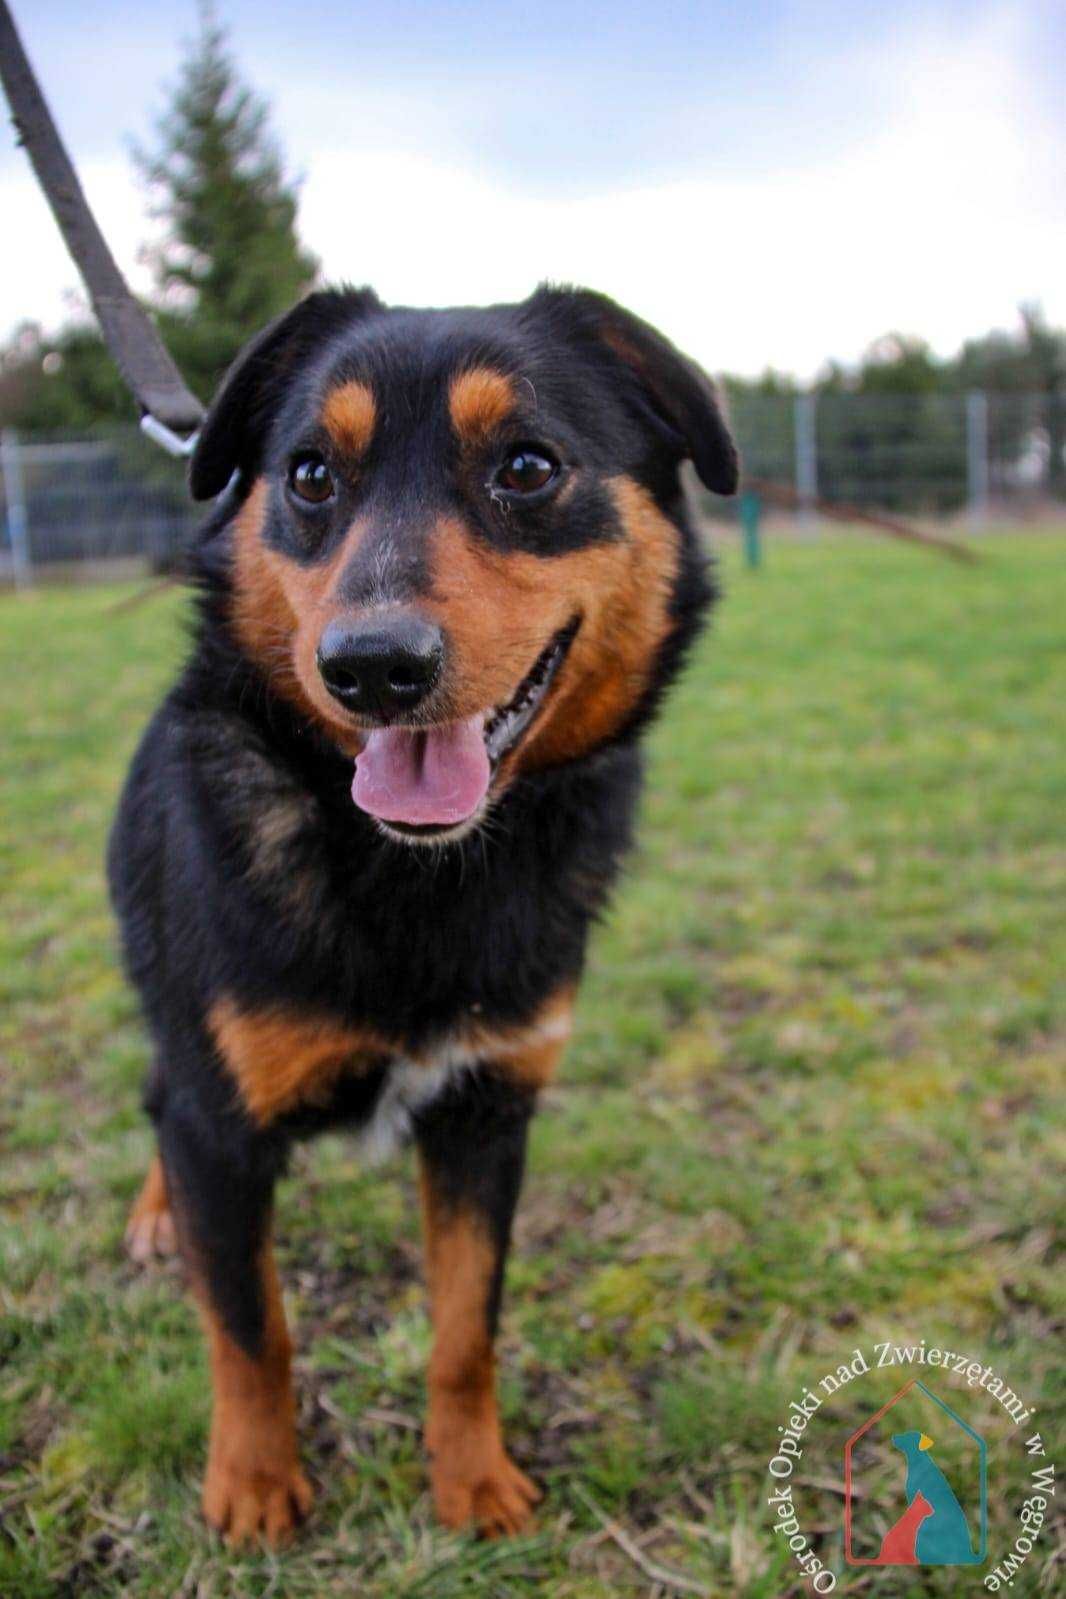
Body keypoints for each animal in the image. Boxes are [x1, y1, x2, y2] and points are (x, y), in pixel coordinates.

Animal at [110, 287, 741, 1547]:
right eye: (309, 475)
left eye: (528, 466)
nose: (372, 668)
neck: (415, 874)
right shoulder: (220, 1122)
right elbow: (250, 1327)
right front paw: (254, 1484)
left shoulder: (486, 1112)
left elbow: (464, 1329)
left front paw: (472, 1480)